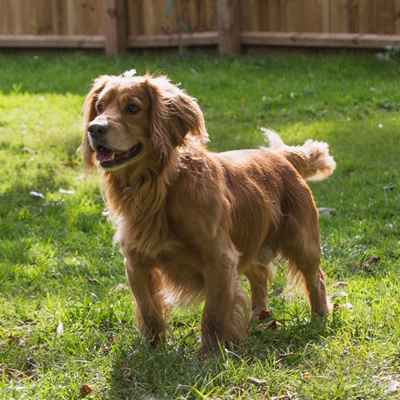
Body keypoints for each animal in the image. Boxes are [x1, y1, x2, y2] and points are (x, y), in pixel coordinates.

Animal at [79, 70, 336, 352]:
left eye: (132, 108)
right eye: (99, 107)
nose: (95, 128)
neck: (160, 188)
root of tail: (282, 156)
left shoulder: (220, 258)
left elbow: (213, 312)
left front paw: (210, 352)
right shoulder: (136, 261)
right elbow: (148, 309)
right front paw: (154, 348)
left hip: (302, 243)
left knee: (316, 279)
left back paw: (319, 317)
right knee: (259, 275)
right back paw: (258, 316)